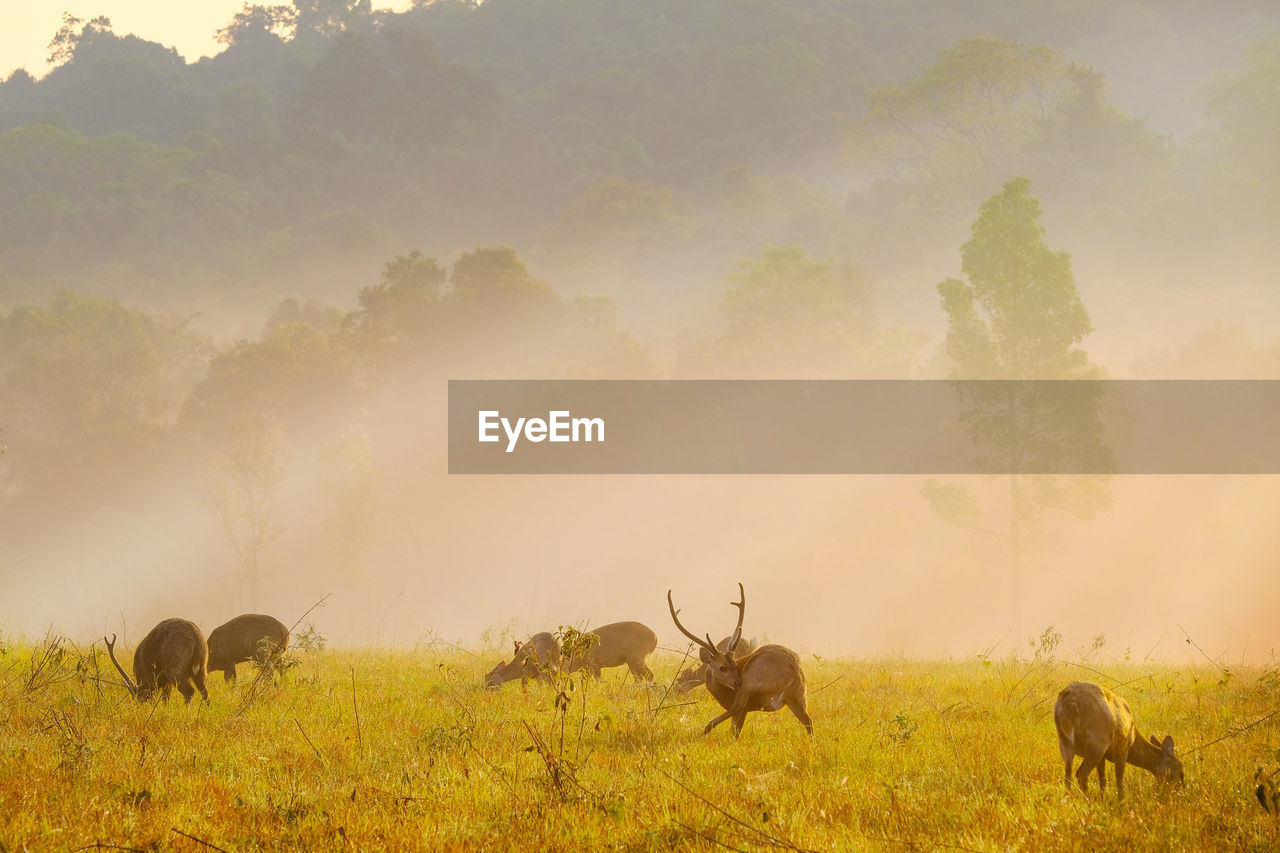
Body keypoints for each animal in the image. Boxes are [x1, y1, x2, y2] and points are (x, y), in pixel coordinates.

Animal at [670, 581, 808, 732]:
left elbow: (734, 726)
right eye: (724, 667)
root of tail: (792, 671)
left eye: (733, 665)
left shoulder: (743, 704)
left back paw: (704, 730)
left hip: (751, 682)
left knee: (731, 710)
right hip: (799, 695)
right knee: (809, 722)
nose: (737, 682)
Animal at [1054, 676, 1182, 799]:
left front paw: (1103, 799)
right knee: (1081, 773)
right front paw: (1121, 801)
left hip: (1064, 741)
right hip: (1097, 742)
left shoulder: (1103, 756)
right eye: (1179, 769)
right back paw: (1088, 800)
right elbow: (1119, 780)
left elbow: (1103, 779)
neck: (1134, 738)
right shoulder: (1122, 748)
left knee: (1068, 775)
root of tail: (1069, 703)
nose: (1180, 789)